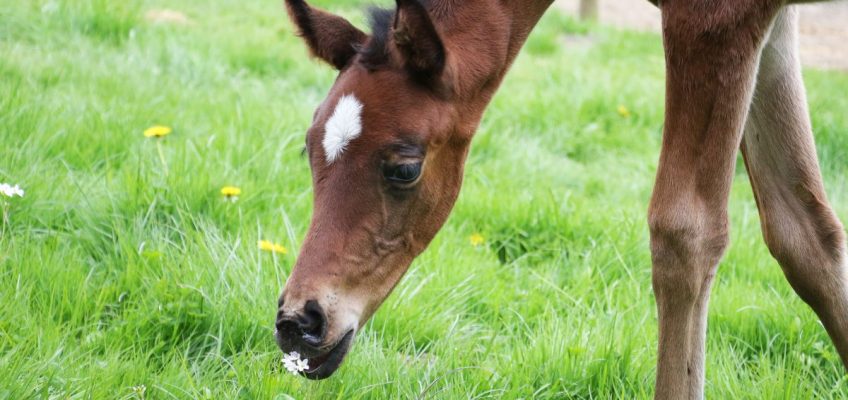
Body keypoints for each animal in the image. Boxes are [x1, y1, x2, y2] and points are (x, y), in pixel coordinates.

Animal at [274, 0, 844, 396]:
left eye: (405, 169)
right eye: (309, 149)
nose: (298, 323)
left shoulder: (717, 18)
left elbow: (687, 234)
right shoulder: (769, 20)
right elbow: (805, 238)